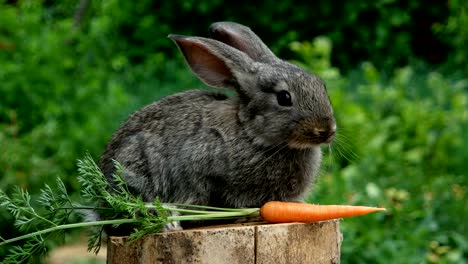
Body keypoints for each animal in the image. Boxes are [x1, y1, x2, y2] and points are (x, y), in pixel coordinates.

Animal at [98, 22, 336, 229]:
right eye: (284, 97)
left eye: (322, 85)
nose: (327, 130)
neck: (252, 135)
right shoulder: (201, 166)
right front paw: (244, 217)